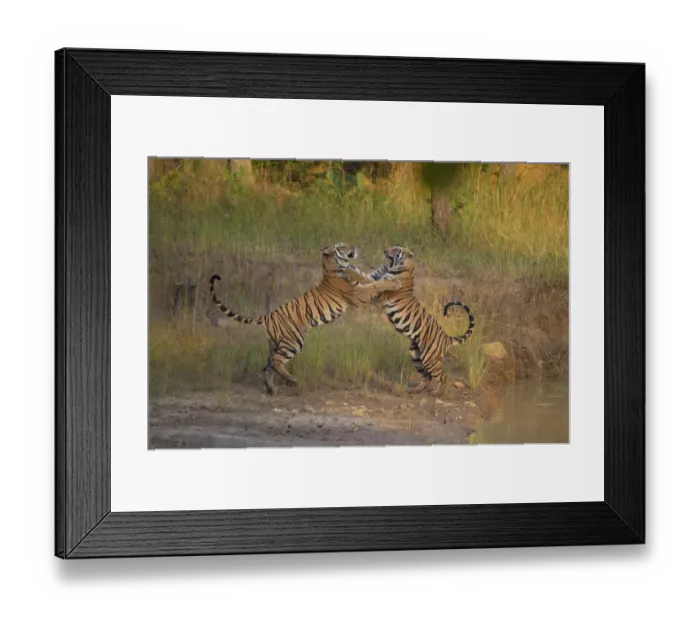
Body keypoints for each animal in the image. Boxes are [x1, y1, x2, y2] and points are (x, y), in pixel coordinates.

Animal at [209, 242, 401, 394]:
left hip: (275, 344)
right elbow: (375, 284)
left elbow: (374, 276)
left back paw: (273, 388)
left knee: (268, 365)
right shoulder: (357, 293)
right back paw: (292, 380)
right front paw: (394, 282)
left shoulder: (363, 278)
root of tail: (269, 315)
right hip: (294, 340)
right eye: (341, 246)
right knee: (276, 361)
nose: (354, 247)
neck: (334, 267)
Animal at [347, 246, 475, 395]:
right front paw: (348, 267)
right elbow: (365, 276)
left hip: (430, 358)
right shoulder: (375, 276)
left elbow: (371, 284)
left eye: (395, 249)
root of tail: (446, 337)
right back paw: (414, 390)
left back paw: (438, 392)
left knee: (442, 376)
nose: (385, 250)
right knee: (427, 376)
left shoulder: (382, 290)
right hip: (415, 355)